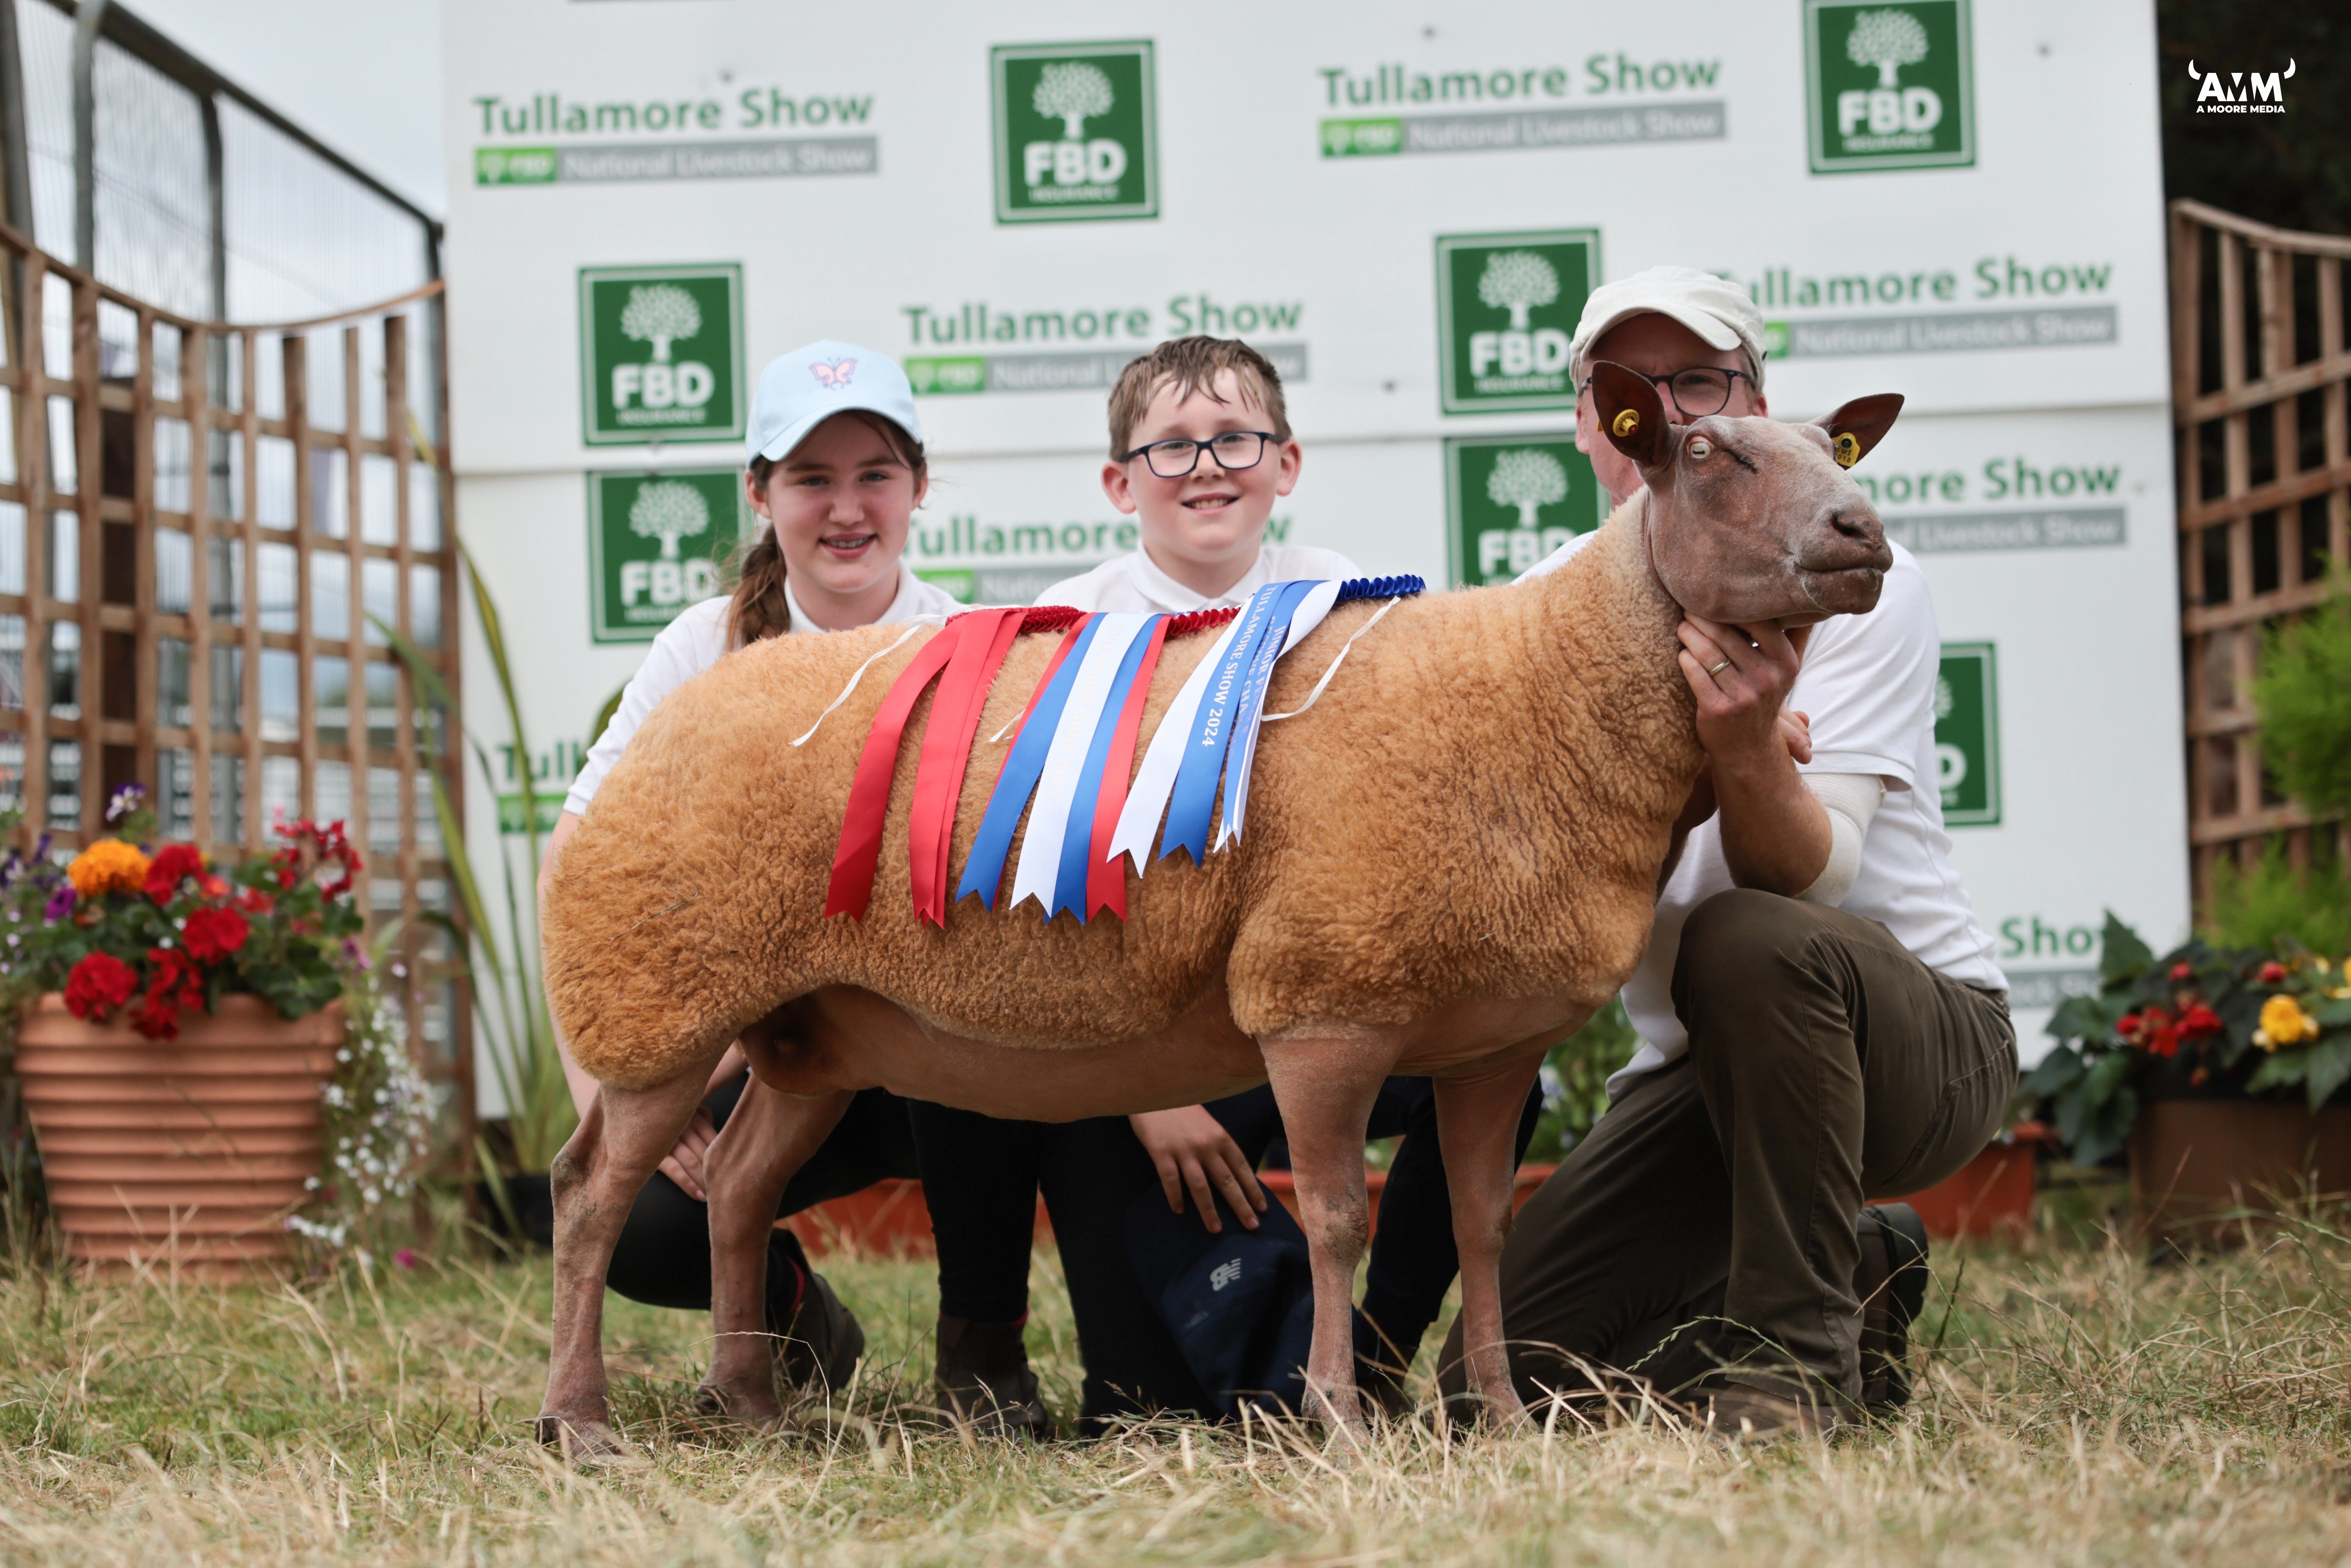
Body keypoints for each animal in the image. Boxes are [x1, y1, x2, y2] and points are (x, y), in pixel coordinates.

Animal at [534, 364, 1902, 1457]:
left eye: (1831, 449)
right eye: (1710, 455)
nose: (1863, 532)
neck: (1541, 685)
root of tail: (660, 717)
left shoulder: (1496, 1038)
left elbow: (1481, 1226)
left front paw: (1508, 1420)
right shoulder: (1326, 997)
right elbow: (1340, 1218)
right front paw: (1339, 1415)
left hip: (813, 1023)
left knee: (740, 1184)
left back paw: (754, 1404)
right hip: (657, 987)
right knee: (591, 1192)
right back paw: (582, 1418)